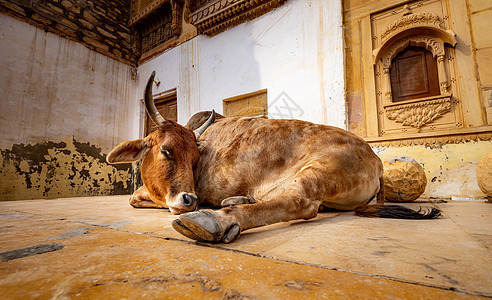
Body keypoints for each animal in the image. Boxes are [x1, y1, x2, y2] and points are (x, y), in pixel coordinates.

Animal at [106, 72, 438, 244]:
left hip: (319, 172)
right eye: (167, 150)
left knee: (299, 203)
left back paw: (216, 219)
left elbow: (137, 198)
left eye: (195, 158)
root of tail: (376, 160)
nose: (190, 199)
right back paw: (236, 200)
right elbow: (137, 198)